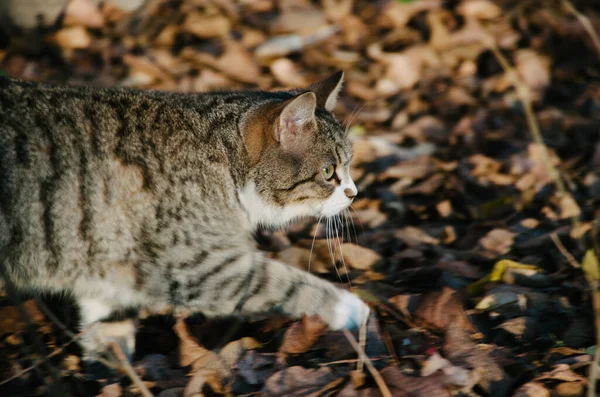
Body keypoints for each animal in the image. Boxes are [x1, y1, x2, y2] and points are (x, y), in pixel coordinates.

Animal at [0, 71, 370, 358]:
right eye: (329, 172)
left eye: (349, 165)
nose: (354, 193)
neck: (221, 159)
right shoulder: (197, 264)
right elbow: (281, 282)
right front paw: (348, 307)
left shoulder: (107, 265)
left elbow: (107, 324)